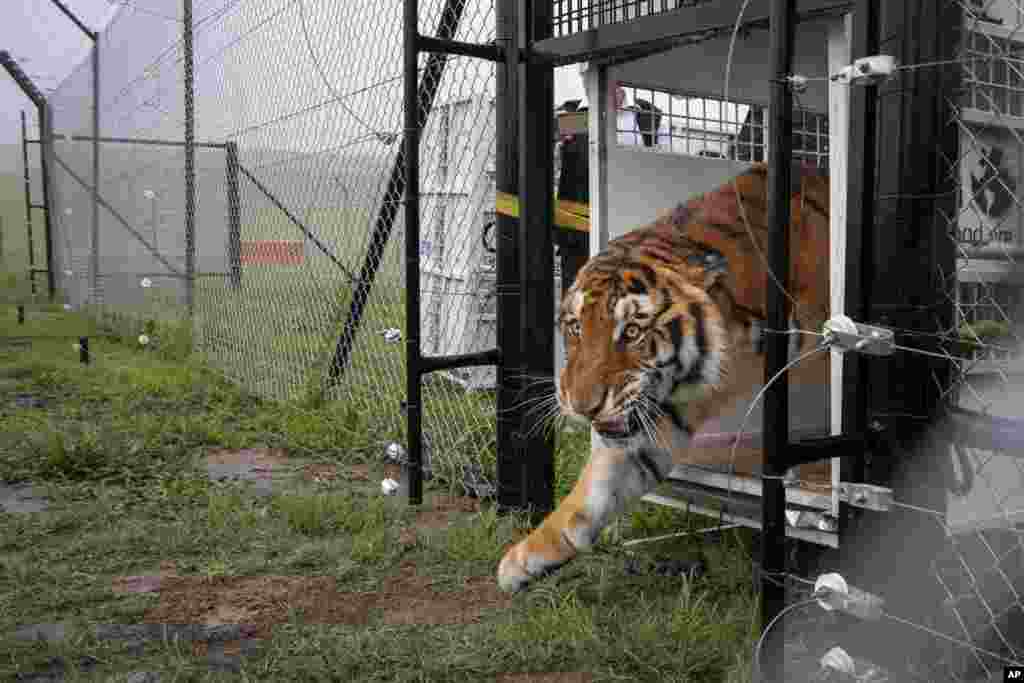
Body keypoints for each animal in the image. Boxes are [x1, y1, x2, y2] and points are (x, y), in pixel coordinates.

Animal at [495, 160, 831, 593]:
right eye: (574, 327)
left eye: (632, 332)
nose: (584, 408)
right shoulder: (660, 418)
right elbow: (590, 496)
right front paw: (523, 560)